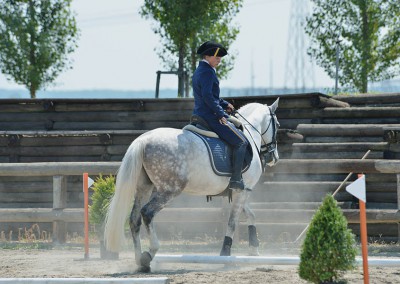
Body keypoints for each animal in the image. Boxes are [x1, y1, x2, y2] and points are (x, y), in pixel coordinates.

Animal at [104, 98, 280, 272]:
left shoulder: (238, 191)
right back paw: (150, 253)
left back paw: (140, 261)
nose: (274, 158)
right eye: (277, 125)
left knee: (134, 219)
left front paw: (254, 249)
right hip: (170, 190)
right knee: (147, 213)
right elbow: (232, 222)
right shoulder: (243, 191)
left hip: (144, 188)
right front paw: (225, 254)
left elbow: (250, 214)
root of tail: (143, 140)